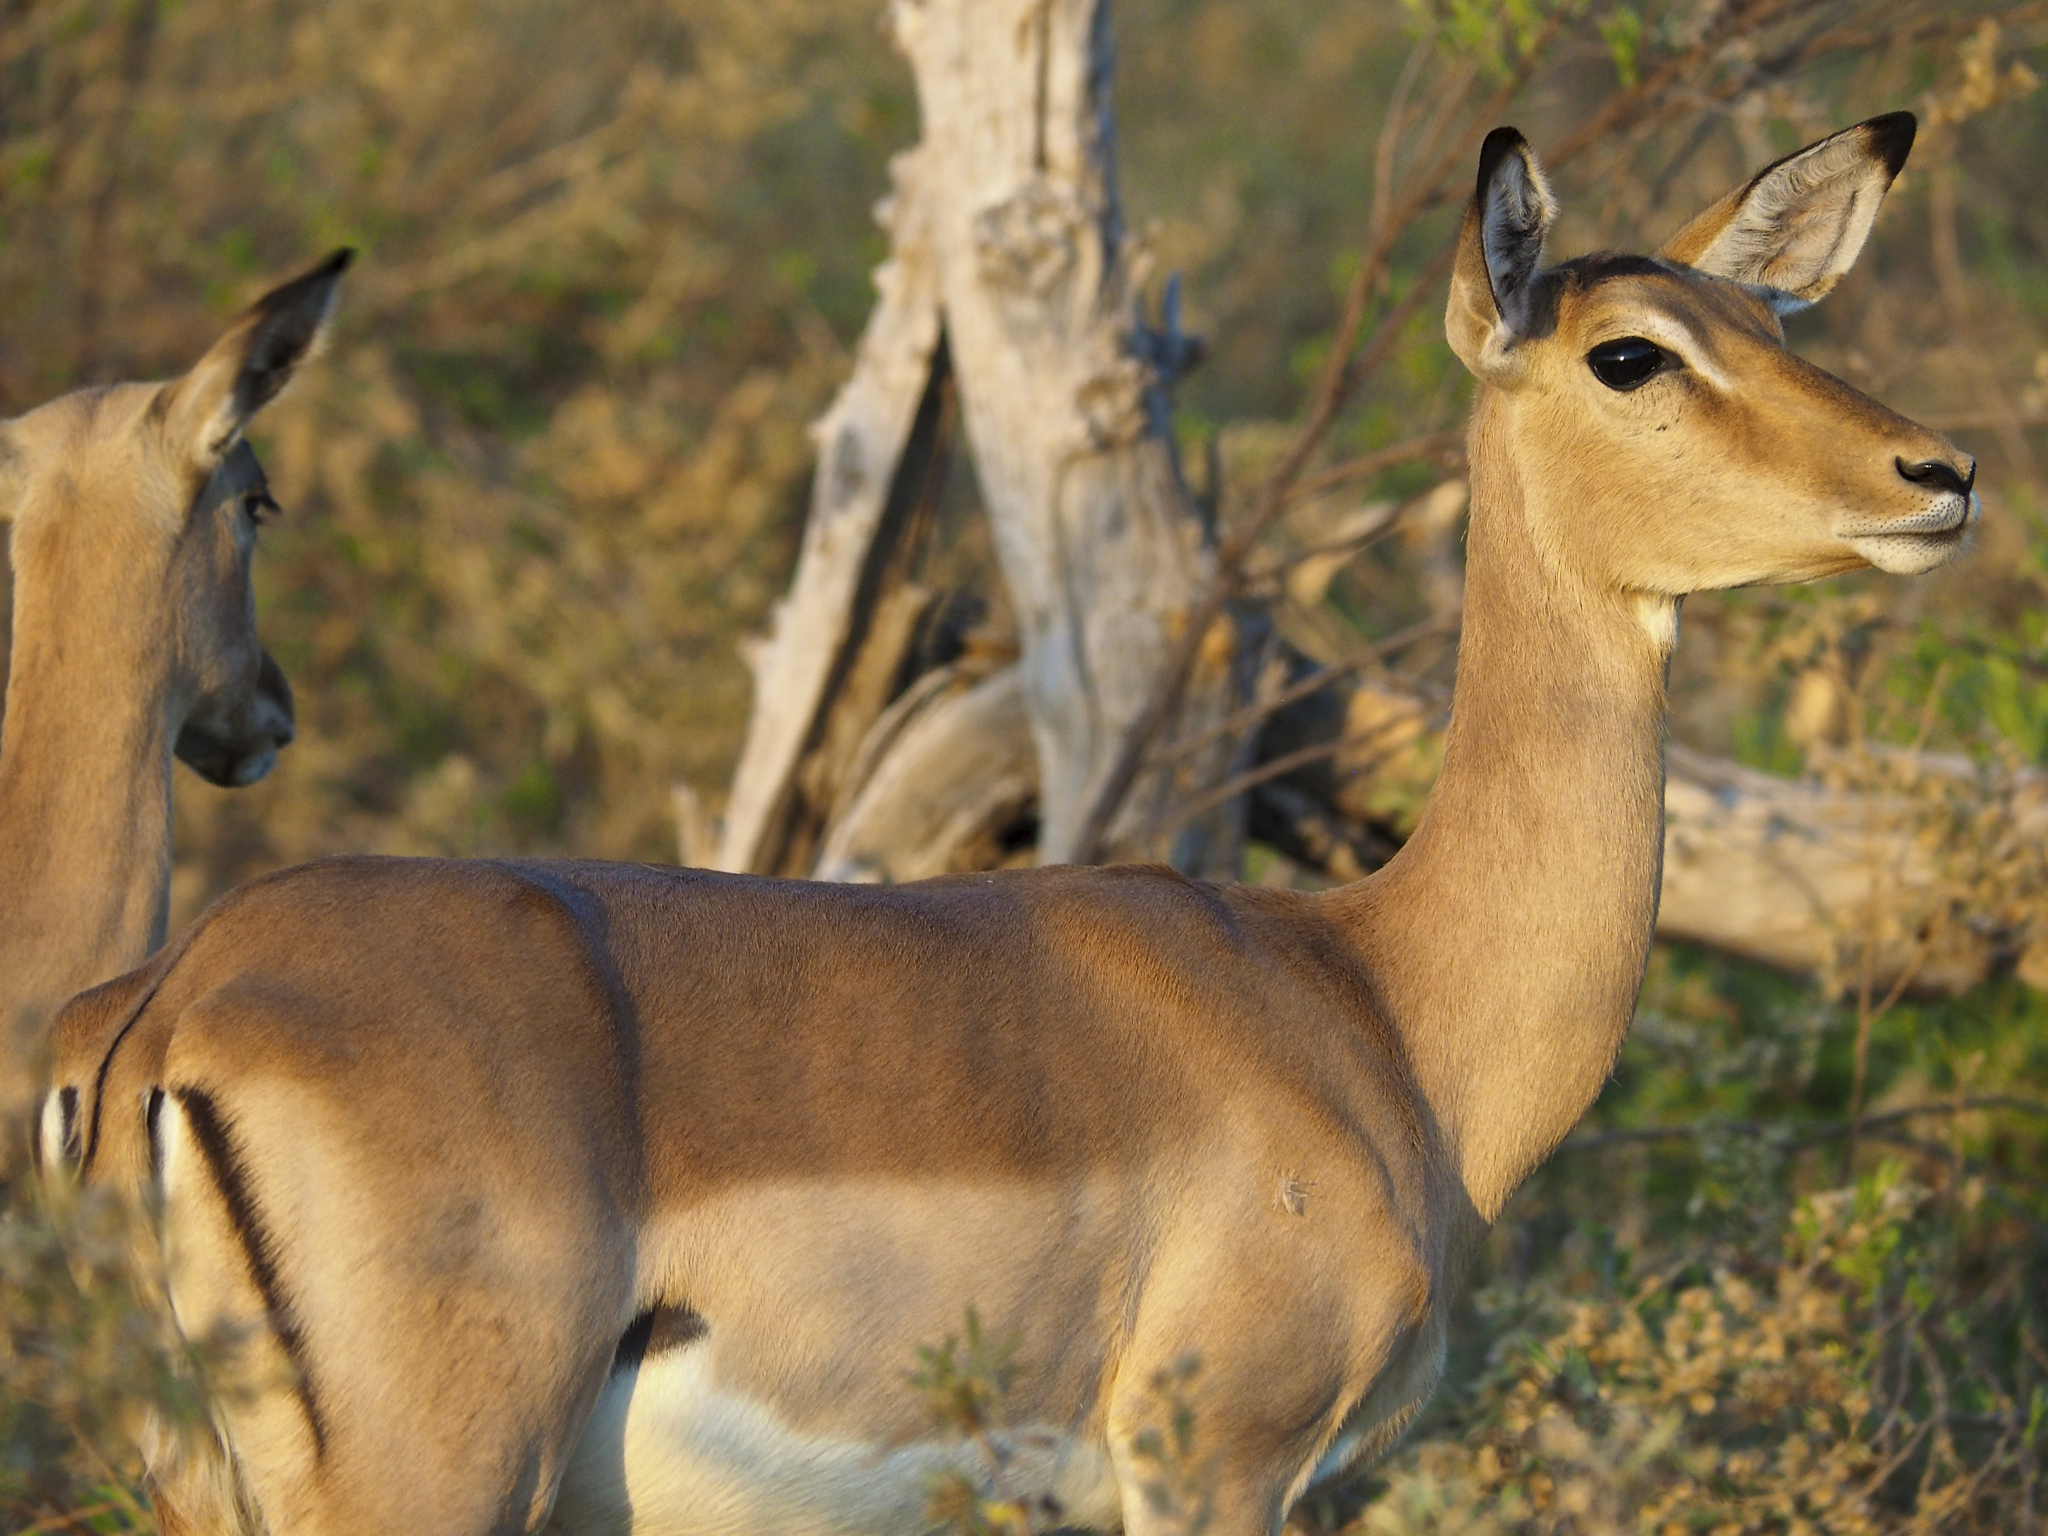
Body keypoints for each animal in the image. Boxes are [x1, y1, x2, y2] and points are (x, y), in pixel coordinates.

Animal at [42, 115, 1974, 1536]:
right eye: (1628, 353)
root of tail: (175, 1001)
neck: (1378, 1010)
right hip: (427, 1477)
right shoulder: (1211, 1470)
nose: (1938, 476)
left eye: (1778, 325)